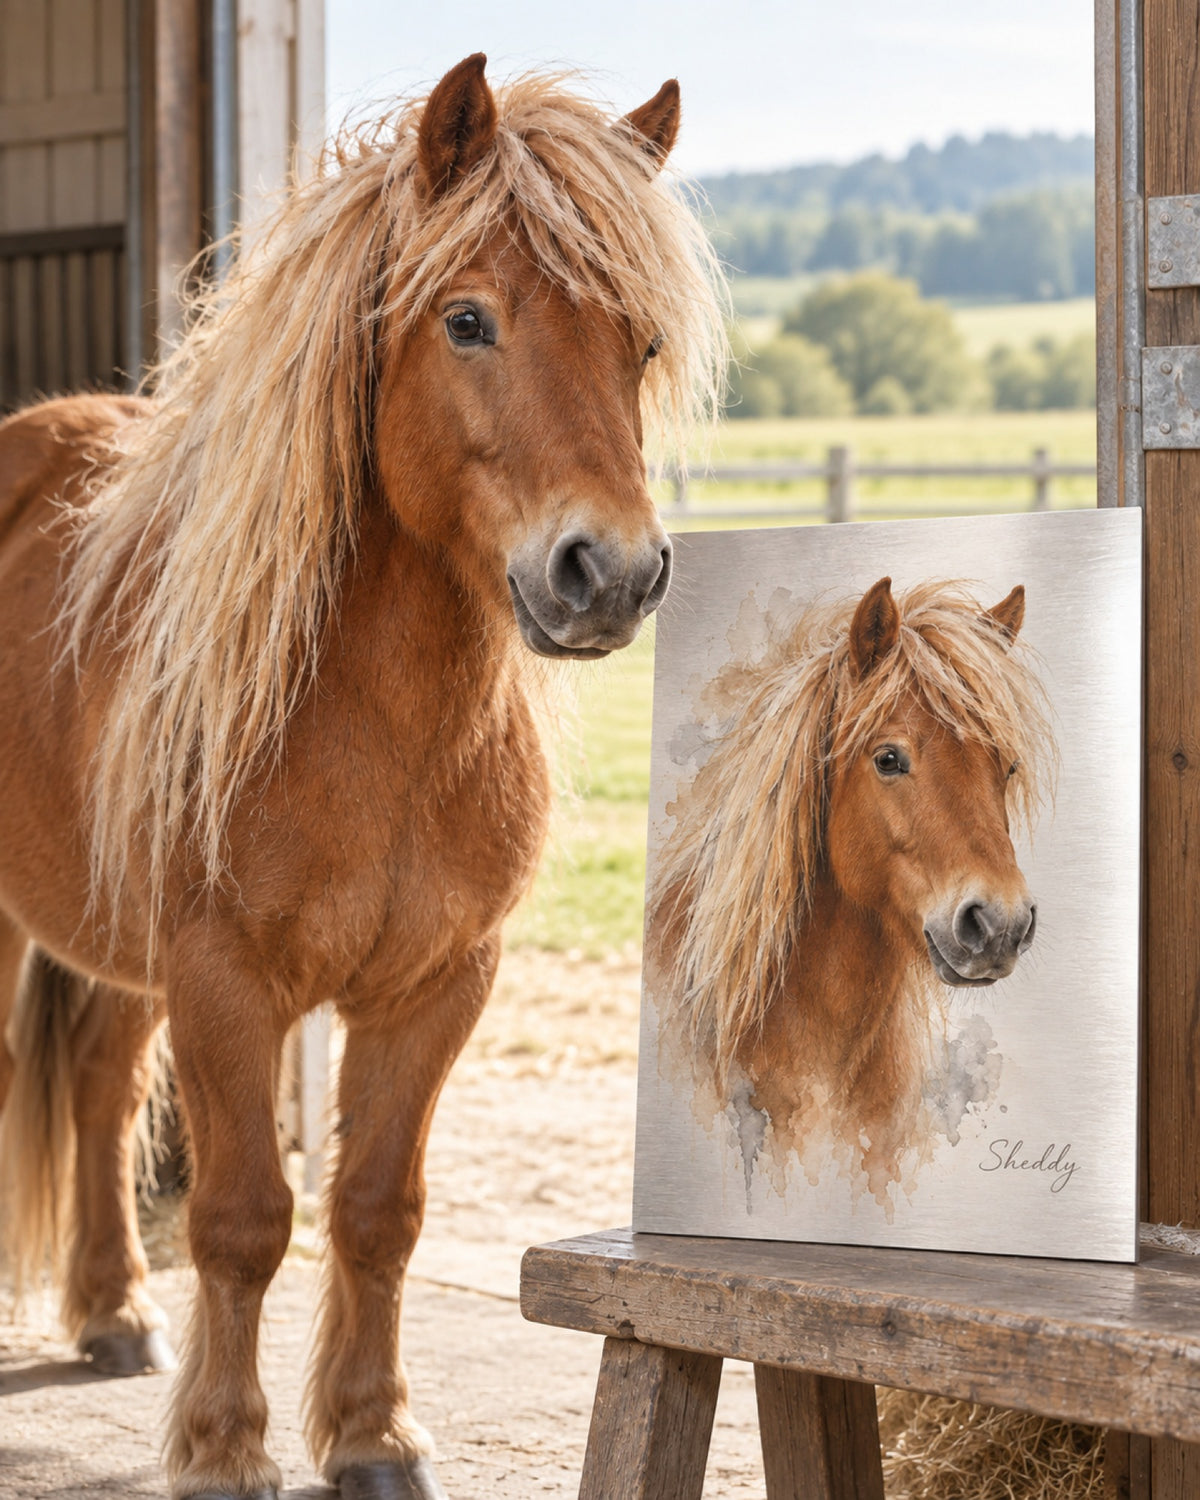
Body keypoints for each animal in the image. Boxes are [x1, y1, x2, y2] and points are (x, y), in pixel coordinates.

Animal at [0, 55, 725, 1500]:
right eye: (468, 320)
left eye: (640, 342)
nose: (610, 573)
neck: (366, 726)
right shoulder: (228, 984)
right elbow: (242, 1219)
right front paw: (226, 1448)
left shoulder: (436, 987)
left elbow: (378, 1212)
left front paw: (373, 1433)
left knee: (101, 1083)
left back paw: (112, 1313)